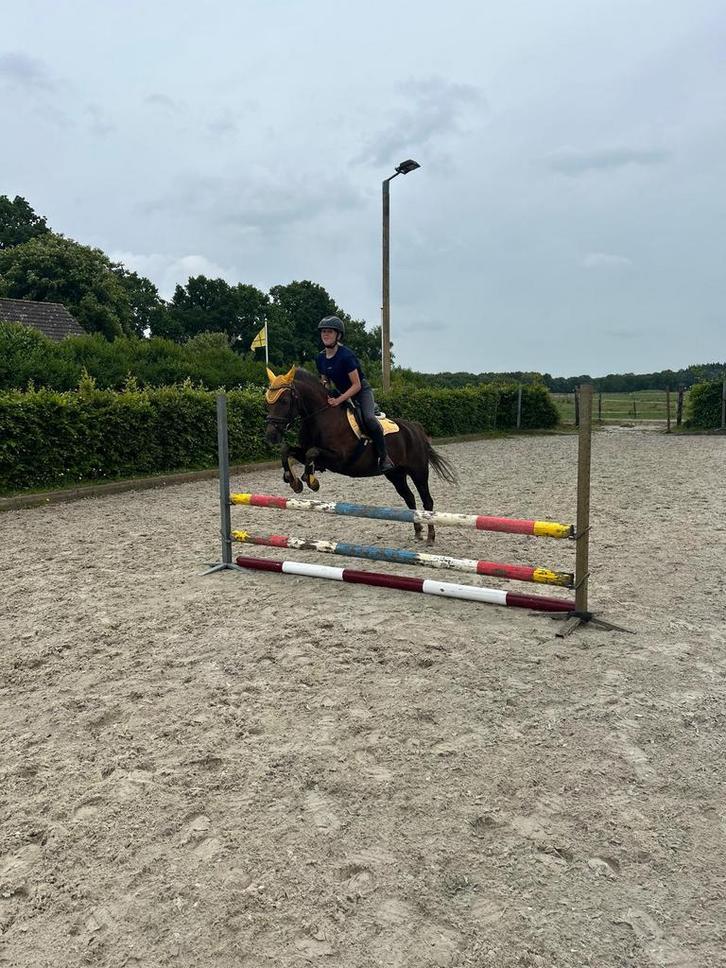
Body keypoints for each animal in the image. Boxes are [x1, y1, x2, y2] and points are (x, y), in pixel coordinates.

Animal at [263, 366, 457, 544]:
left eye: (284, 401)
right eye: (267, 402)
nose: (271, 436)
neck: (321, 417)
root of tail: (416, 429)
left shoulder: (339, 459)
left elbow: (312, 453)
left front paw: (311, 480)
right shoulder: (307, 453)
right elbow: (287, 451)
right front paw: (293, 480)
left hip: (418, 472)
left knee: (427, 502)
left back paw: (431, 536)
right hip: (395, 474)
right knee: (409, 498)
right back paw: (417, 532)